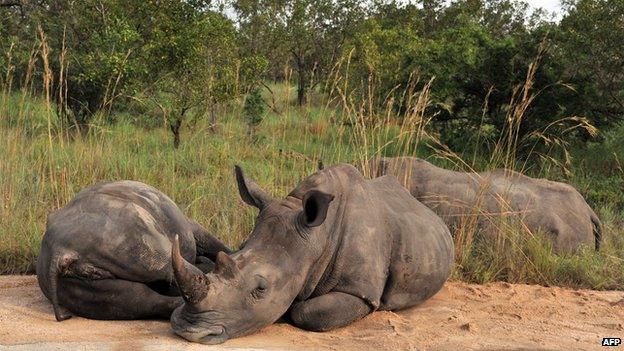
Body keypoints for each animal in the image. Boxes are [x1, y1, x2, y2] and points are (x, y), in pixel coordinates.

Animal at [34, 182, 229, 322]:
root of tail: (61, 250)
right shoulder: (190, 226)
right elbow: (210, 242)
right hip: (122, 235)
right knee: (162, 263)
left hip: (64, 278)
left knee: (133, 300)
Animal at [169, 164, 454, 344]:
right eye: (236, 248)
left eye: (261, 289)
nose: (189, 331)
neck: (318, 238)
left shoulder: (360, 292)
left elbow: (307, 312)